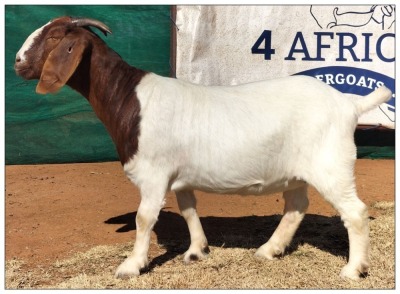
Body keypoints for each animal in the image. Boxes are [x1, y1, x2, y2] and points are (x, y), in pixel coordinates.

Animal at [14, 16, 390, 280]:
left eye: (53, 37)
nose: (17, 61)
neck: (130, 99)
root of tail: (349, 104)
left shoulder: (154, 174)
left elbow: (144, 218)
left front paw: (131, 266)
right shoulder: (180, 174)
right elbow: (188, 209)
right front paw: (197, 251)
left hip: (332, 165)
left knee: (355, 213)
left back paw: (353, 270)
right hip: (297, 171)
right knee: (296, 206)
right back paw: (269, 250)